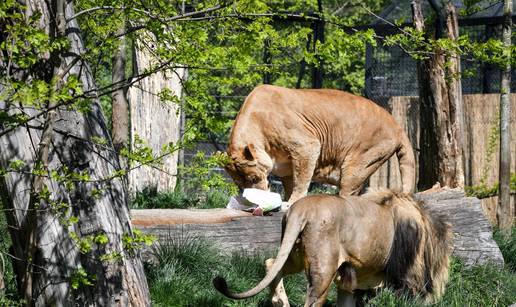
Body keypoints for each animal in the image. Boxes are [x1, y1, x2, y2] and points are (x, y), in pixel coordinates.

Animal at [214, 191, 452, 306]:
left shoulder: (349, 284)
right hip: (324, 269)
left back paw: (280, 301)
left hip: (295, 253)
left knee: (272, 263)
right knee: (310, 301)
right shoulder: (408, 279)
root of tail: (302, 208)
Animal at [225, 84, 416, 207]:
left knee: (349, 193)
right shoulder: (286, 168)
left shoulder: (306, 145)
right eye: (240, 185)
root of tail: (397, 126)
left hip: (359, 161)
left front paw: (292, 202)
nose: (254, 200)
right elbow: (291, 182)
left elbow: (301, 180)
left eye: (253, 178)